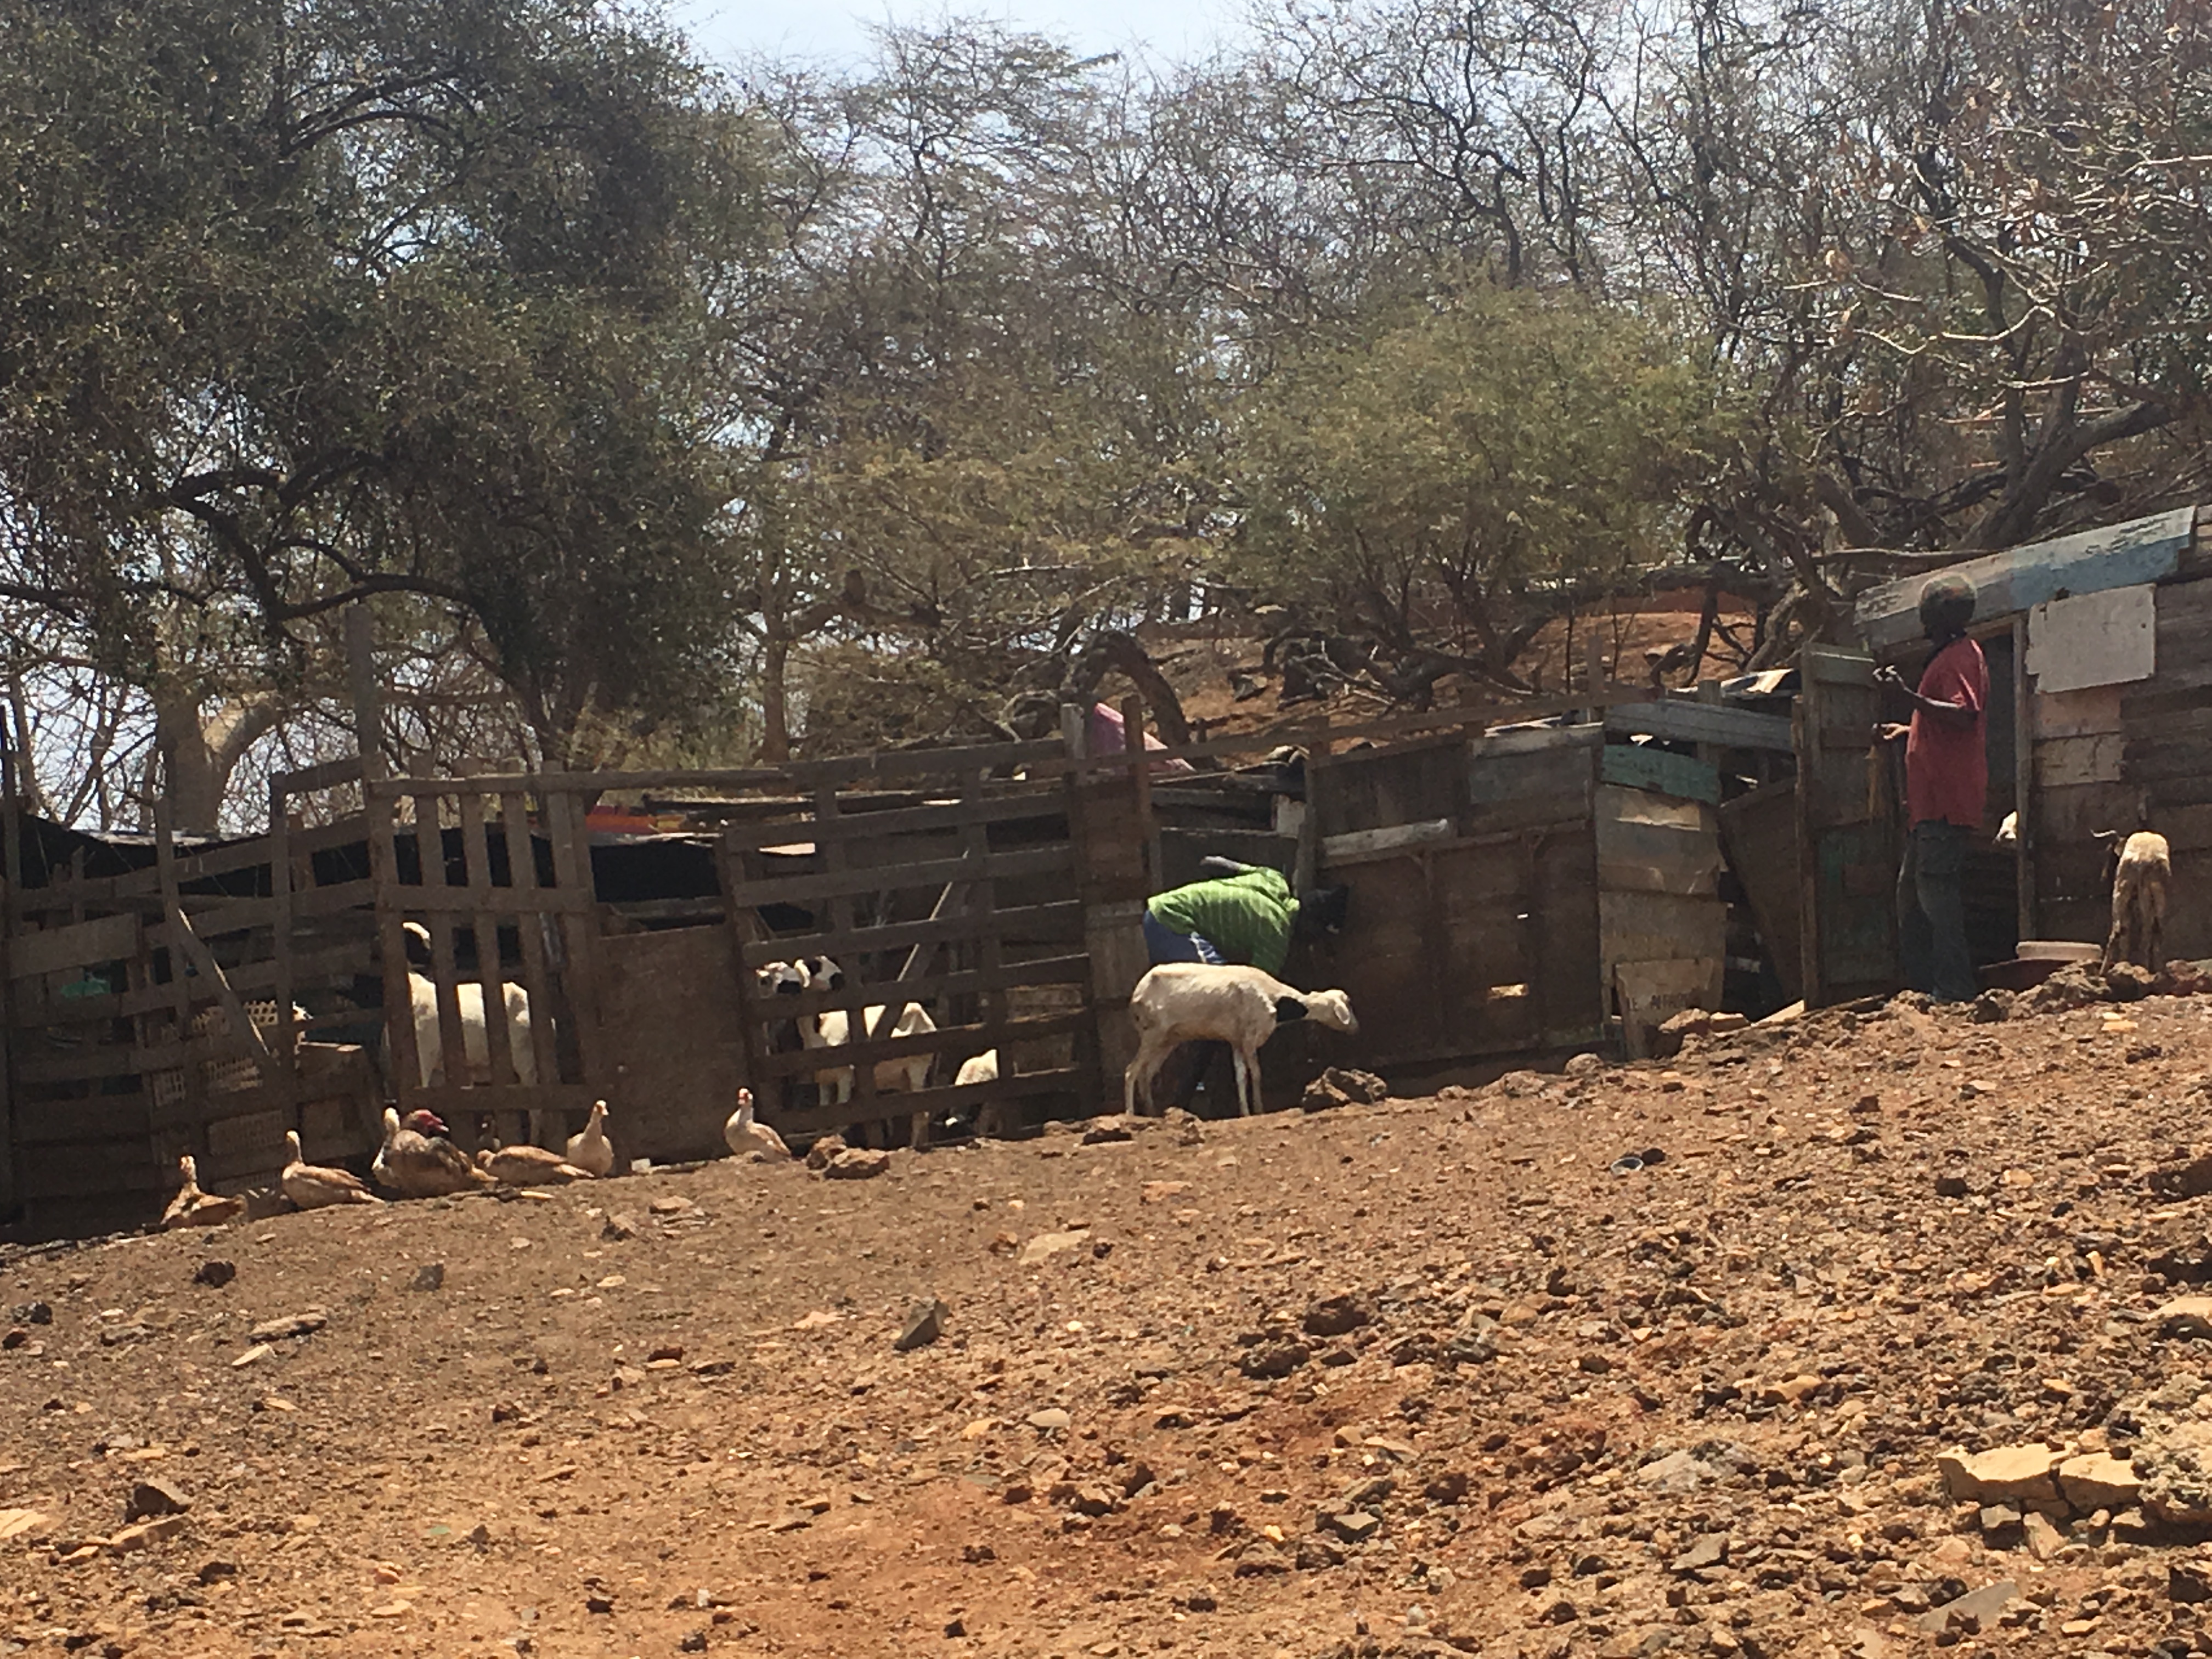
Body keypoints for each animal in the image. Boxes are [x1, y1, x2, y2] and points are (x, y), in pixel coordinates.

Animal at [1132, 969, 1353, 1124]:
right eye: (1348, 1004)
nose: (1356, 1027)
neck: (1276, 1000)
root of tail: (1138, 992)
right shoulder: (1249, 1040)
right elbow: (1255, 1074)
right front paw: (1259, 1109)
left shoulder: (1237, 1042)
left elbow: (1240, 1076)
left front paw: (1245, 1112)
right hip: (1152, 1035)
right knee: (1131, 1071)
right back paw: (1130, 1112)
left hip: (1166, 1041)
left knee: (1146, 1074)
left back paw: (1151, 1113)